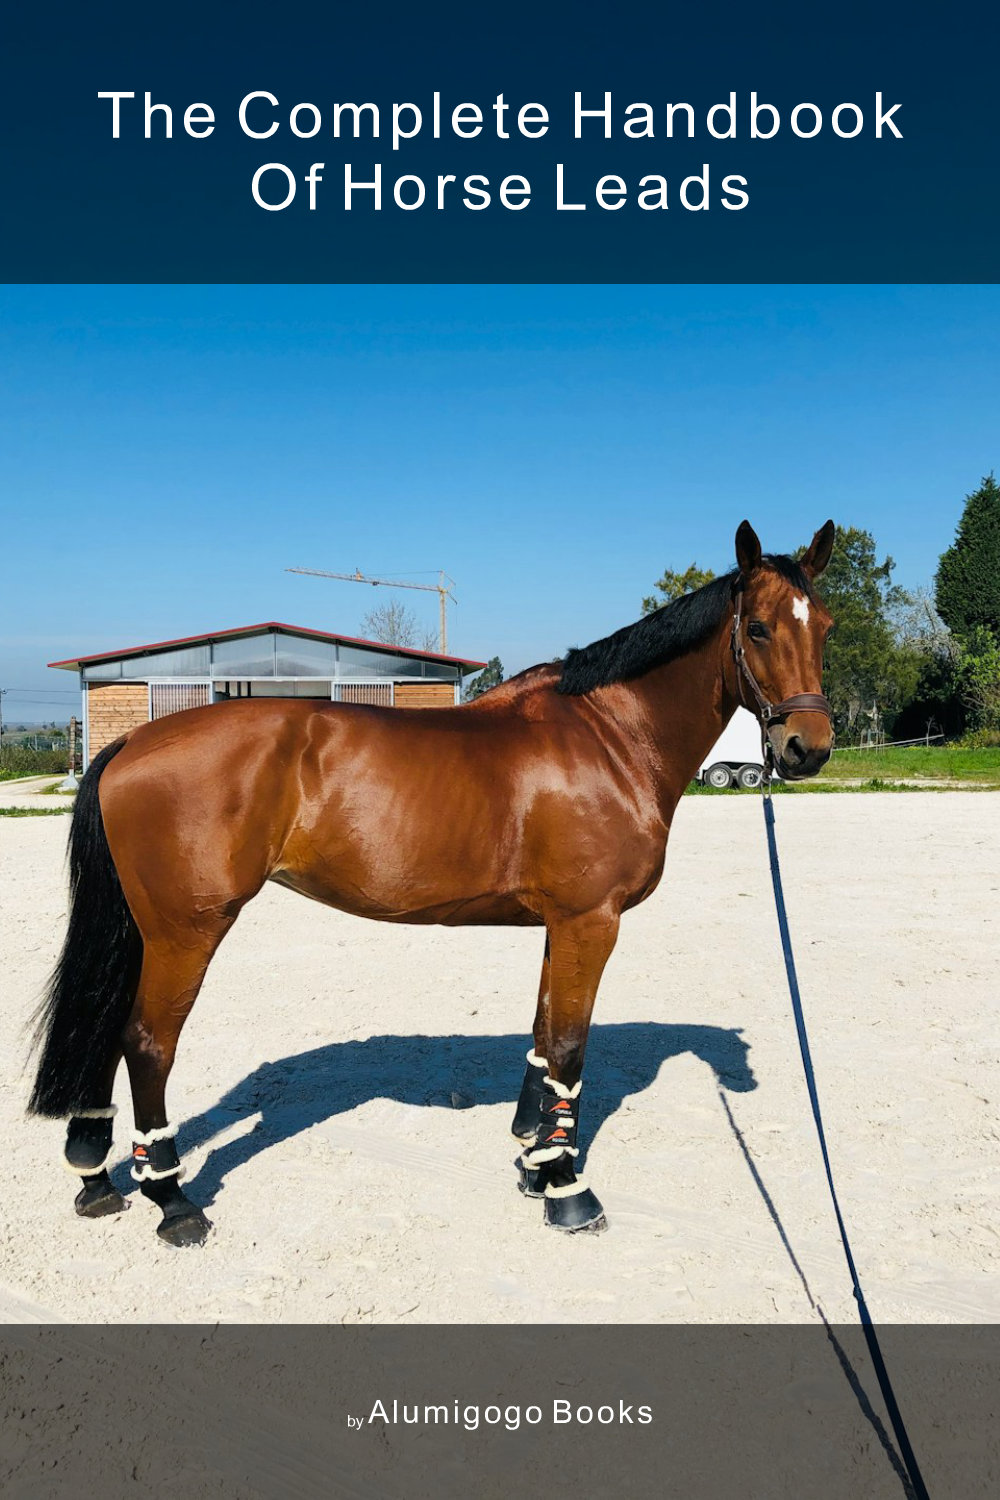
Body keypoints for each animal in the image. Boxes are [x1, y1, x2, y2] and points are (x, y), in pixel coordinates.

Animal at [29, 519, 835, 1247]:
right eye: (758, 628)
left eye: (824, 627)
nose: (808, 748)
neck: (609, 737)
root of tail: (133, 740)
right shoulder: (591, 921)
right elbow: (570, 1049)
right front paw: (567, 1190)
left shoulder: (561, 926)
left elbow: (544, 1038)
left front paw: (536, 1161)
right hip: (186, 931)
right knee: (147, 1043)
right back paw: (172, 1200)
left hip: (146, 930)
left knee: (106, 1024)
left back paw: (96, 1176)